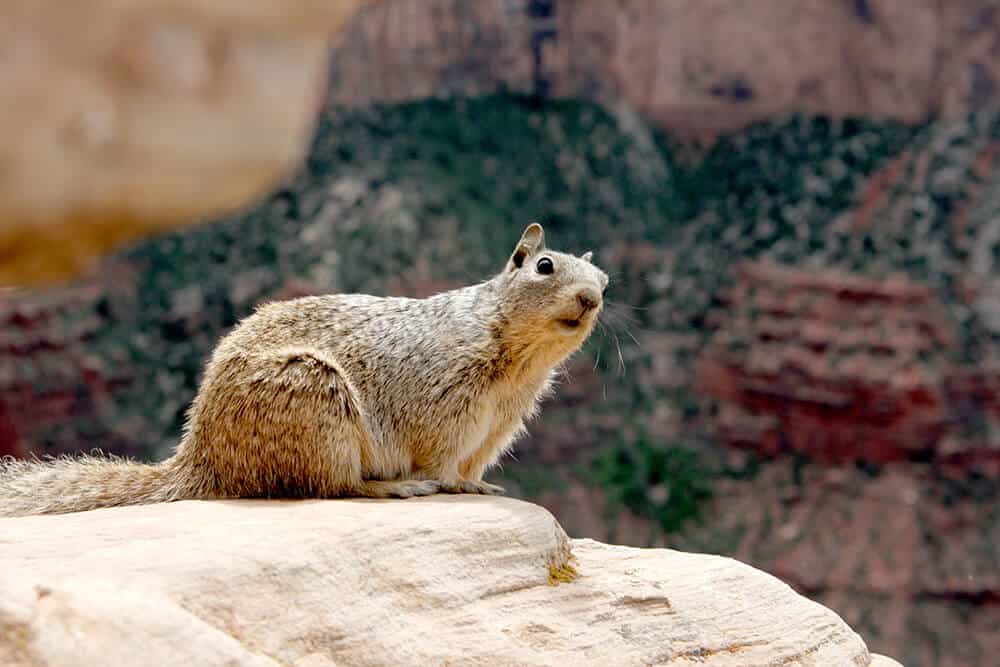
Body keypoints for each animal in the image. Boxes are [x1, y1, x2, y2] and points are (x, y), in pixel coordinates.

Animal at [0, 224, 608, 516]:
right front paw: (452, 484)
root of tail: (202, 457)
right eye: (545, 265)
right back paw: (393, 488)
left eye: (605, 280)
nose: (592, 299)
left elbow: (475, 460)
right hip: (319, 404)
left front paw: (479, 485)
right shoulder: (446, 400)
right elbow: (440, 454)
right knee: (333, 485)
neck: (518, 361)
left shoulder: (502, 421)